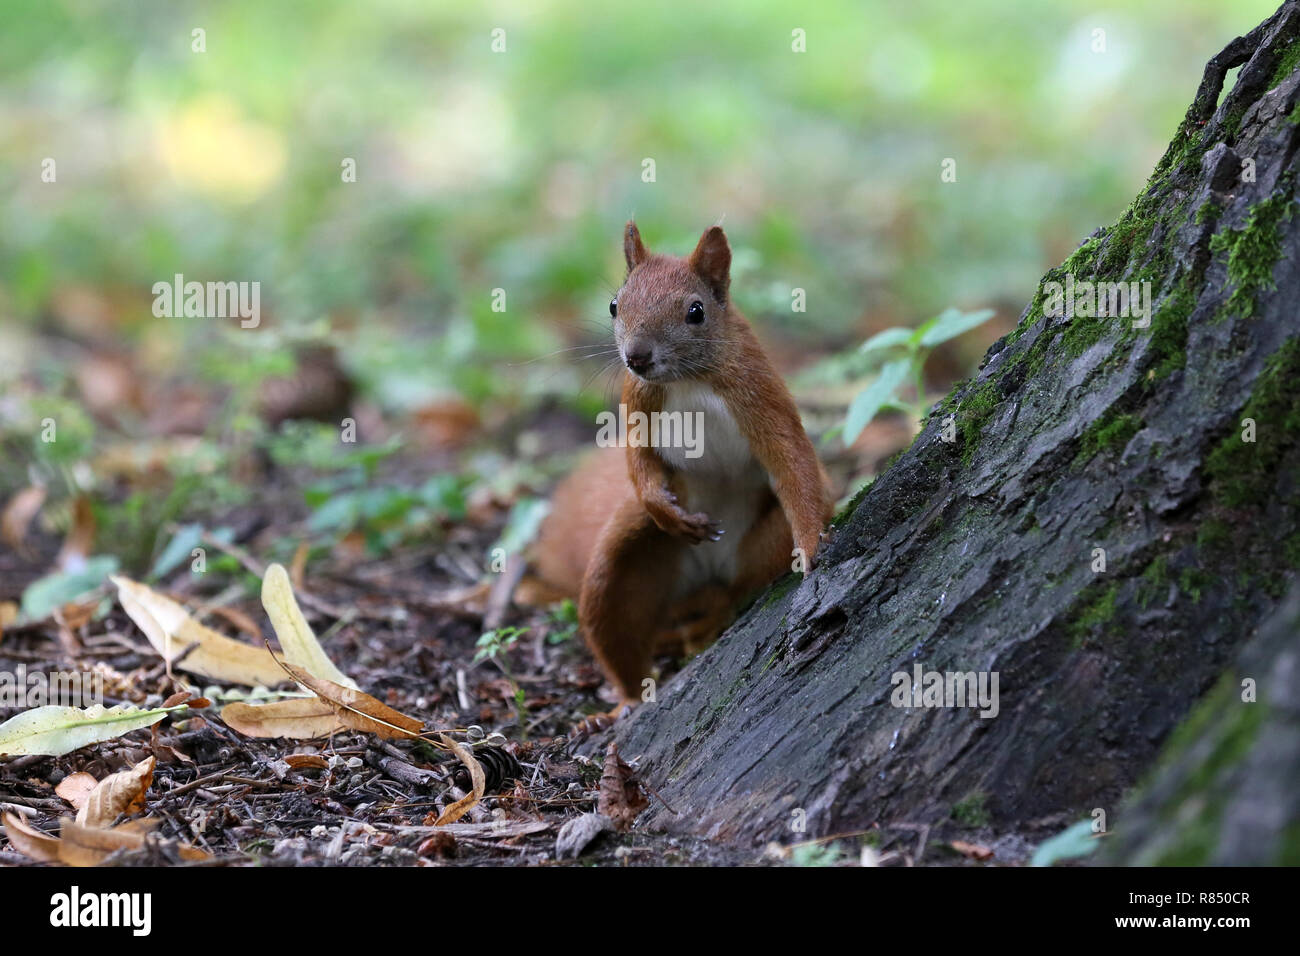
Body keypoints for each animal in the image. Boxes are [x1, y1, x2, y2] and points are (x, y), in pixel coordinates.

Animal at [528, 222, 832, 711]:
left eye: (696, 311)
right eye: (614, 305)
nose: (636, 356)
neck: (688, 379)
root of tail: (707, 569)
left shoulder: (759, 392)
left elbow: (792, 459)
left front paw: (808, 545)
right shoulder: (638, 400)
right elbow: (639, 459)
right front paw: (663, 507)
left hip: (760, 544)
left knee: (737, 588)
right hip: (625, 569)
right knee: (617, 623)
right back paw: (627, 700)